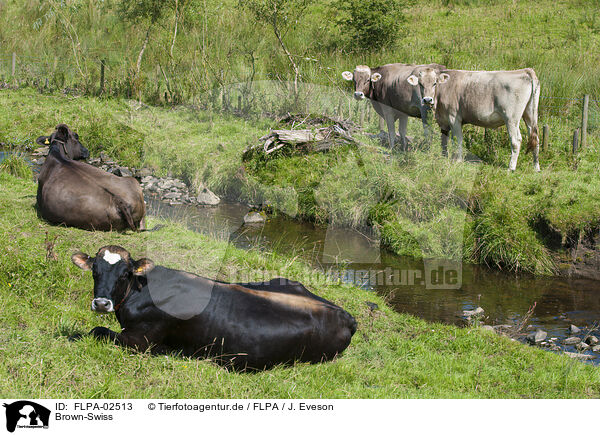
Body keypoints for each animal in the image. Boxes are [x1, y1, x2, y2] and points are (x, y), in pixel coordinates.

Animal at [72, 245, 358, 372]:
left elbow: (97, 330)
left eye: (125, 274)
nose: (101, 303)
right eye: (95, 271)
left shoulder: (139, 340)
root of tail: (346, 315)